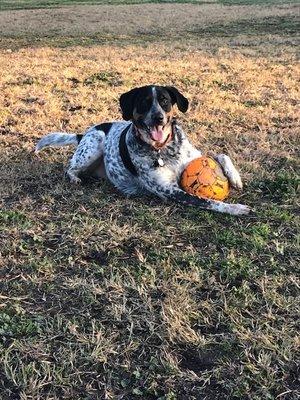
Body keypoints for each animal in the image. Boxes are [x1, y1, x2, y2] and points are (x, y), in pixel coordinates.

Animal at [36, 85, 250, 216]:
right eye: (144, 102)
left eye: (164, 101)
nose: (158, 118)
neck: (163, 149)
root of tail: (85, 133)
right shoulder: (169, 191)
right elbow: (208, 201)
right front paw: (236, 208)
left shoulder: (193, 158)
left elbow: (221, 154)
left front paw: (235, 178)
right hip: (94, 144)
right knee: (70, 168)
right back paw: (75, 178)